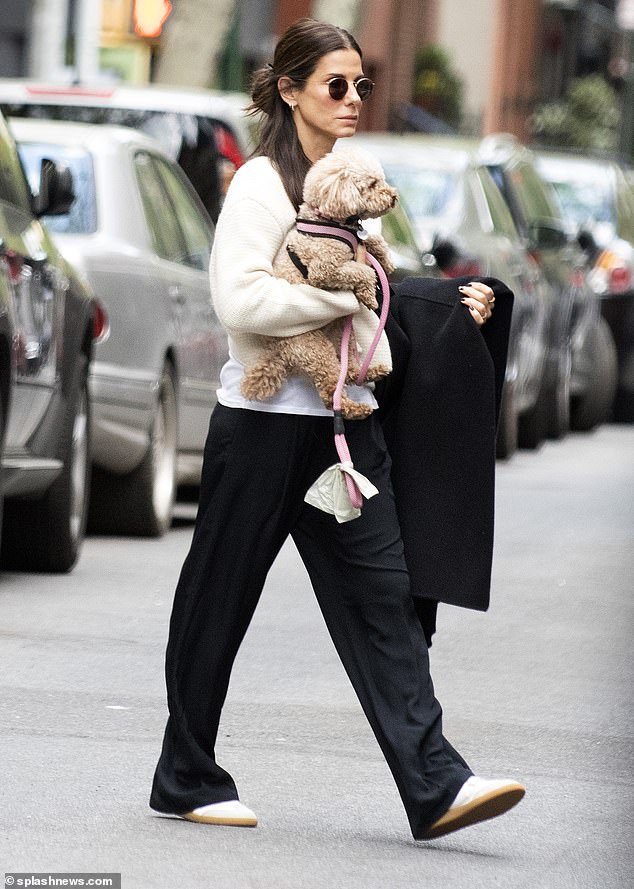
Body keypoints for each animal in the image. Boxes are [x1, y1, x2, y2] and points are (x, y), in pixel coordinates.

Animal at [241, 147, 396, 420]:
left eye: (381, 180)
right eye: (372, 184)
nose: (394, 197)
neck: (328, 218)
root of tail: (277, 350)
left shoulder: (357, 242)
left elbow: (373, 241)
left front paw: (385, 261)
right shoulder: (323, 269)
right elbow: (361, 271)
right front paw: (368, 294)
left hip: (341, 336)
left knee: (349, 373)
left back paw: (371, 372)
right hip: (314, 348)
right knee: (330, 390)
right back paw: (354, 409)